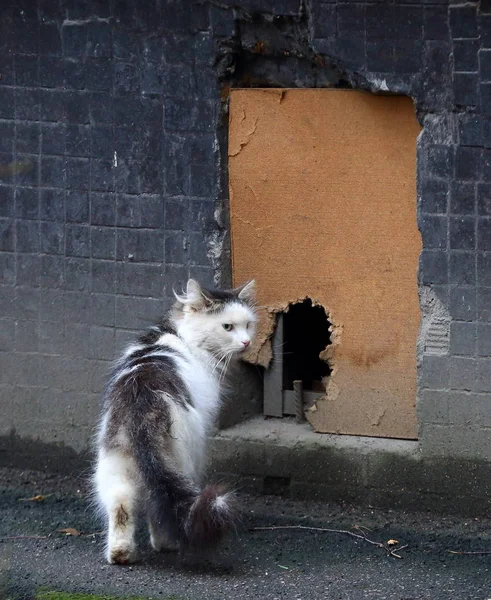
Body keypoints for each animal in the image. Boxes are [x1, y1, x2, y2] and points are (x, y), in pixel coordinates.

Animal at [93, 278, 260, 564]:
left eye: (248, 324)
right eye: (228, 327)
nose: (246, 342)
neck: (180, 333)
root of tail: (143, 404)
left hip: (114, 466)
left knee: (121, 506)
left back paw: (121, 553)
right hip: (183, 458)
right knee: (160, 505)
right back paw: (165, 544)